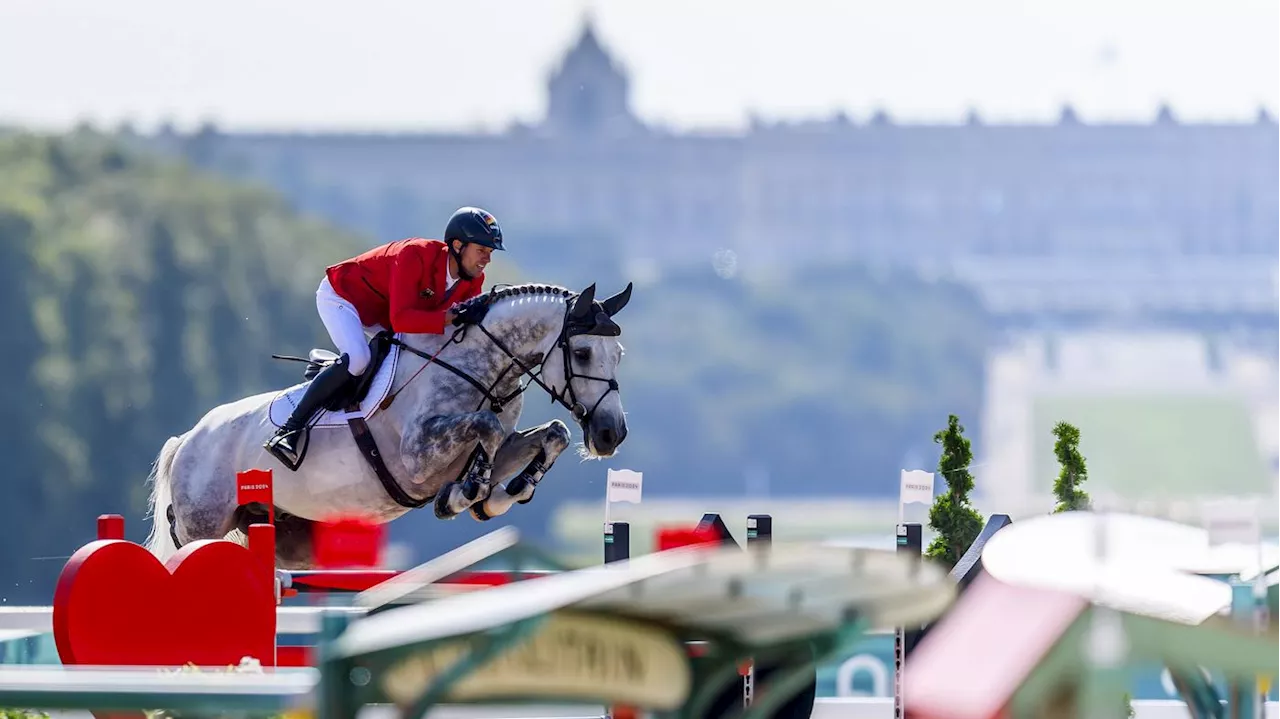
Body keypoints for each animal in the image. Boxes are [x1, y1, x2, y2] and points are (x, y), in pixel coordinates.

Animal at [142, 280, 632, 565]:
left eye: (619, 354)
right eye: (582, 353)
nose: (611, 435)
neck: (478, 367)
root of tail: (188, 439)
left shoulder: (503, 443)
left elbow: (552, 434)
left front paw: (501, 496)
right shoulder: (417, 458)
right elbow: (485, 430)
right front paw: (467, 494)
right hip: (203, 526)